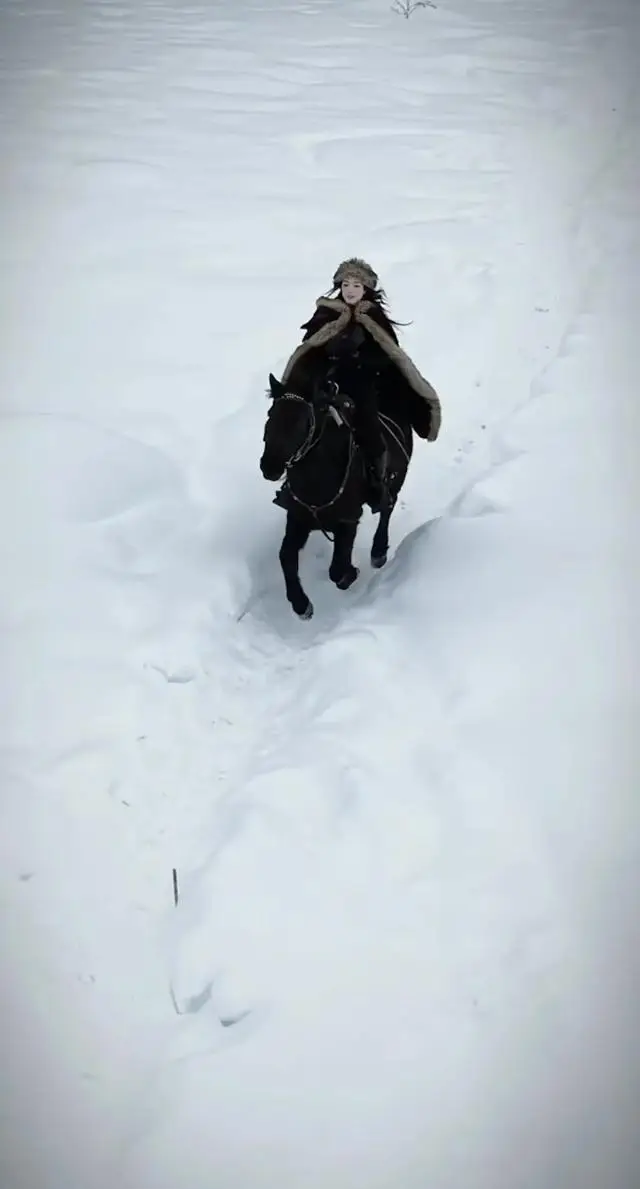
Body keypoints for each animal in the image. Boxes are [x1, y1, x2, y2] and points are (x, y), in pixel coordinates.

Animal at [259, 373, 413, 619]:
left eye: (303, 422)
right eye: (270, 415)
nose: (269, 467)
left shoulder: (348, 520)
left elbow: (337, 570)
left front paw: (351, 572)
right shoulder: (297, 519)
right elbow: (286, 556)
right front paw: (301, 605)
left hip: (395, 481)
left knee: (387, 509)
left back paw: (378, 552)